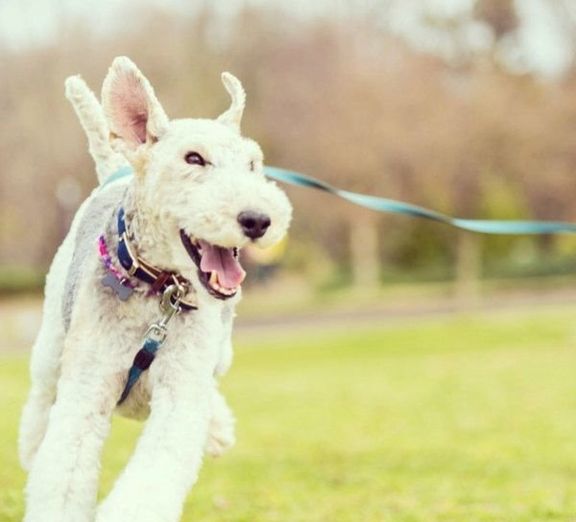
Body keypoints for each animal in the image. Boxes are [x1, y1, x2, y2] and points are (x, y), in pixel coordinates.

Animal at [18, 57, 292, 520]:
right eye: (193, 158)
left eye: (254, 163)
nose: (258, 219)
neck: (158, 291)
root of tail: (114, 171)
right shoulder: (86, 391)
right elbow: (64, 472)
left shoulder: (180, 393)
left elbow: (154, 473)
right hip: (53, 341)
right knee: (41, 397)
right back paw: (32, 447)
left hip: (220, 351)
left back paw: (217, 428)